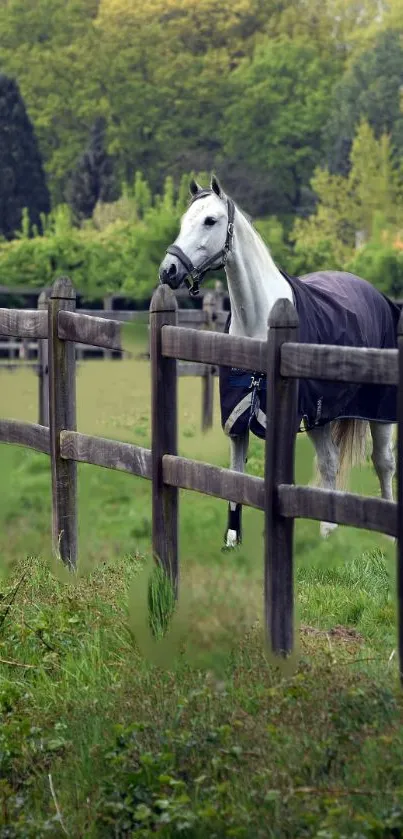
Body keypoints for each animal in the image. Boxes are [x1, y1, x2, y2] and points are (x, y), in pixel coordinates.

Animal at [159, 174, 398, 548]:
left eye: (210, 220)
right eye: (185, 220)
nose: (168, 270)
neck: (259, 323)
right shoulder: (236, 419)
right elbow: (235, 476)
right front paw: (232, 539)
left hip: (380, 410)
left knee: (383, 461)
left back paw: (386, 534)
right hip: (321, 414)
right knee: (330, 461)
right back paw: (328, 530)